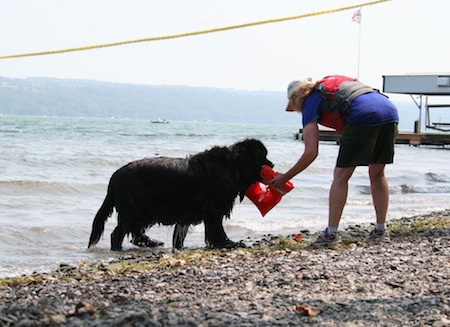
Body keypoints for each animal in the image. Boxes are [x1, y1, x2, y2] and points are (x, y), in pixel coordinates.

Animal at [86, 138, 272, 251]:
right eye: (262, 156)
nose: (272, 164)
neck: (232, 165)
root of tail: (115, 177)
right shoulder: (213, 209)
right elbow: (216, 229)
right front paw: (228, 243)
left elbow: (181, 233)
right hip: (134, 209)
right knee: (117, 233)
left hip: (142, 211)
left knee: (135, 232)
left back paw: (151, 242)